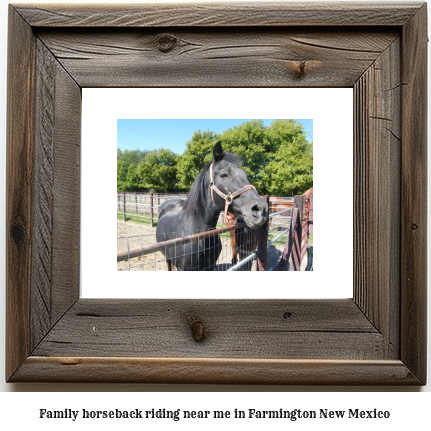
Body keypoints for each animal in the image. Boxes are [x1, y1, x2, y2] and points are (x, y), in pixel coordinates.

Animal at [157, 142, 268, 270]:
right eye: (224, 175)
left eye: (247, 175)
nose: (261, 209)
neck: (199, 234)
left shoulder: (211, 266)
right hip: (168, 259)